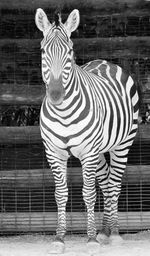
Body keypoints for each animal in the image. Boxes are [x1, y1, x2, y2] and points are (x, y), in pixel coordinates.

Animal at [34, 9, 138, 253]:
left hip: (123, 144)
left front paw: (90, 240)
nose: (55, 95)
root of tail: (106, 62)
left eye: (70, 51)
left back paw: (114, 233)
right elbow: (60, 194)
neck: (63, 112)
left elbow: (89, 194)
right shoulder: (54, 153)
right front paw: (59, 238)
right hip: (99, 150)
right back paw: (104, 231)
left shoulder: (88, 152)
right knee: (106, 182)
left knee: (115, 184)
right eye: (43, 50)